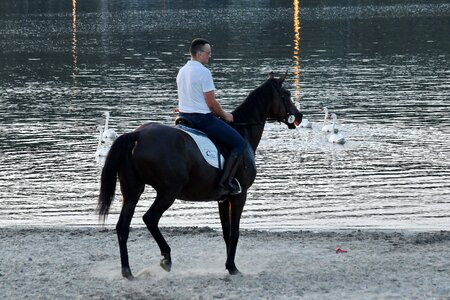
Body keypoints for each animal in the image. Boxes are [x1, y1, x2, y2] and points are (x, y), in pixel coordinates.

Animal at [97, 72, 304, 278]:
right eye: (286, 94)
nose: (299, 116)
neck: (242, 131)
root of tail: (137, 135)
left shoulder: (223, 198)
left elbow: (226, 232)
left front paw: (229, 266)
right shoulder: (240, 195)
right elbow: (235, 232)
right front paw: (233, 268)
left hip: (132, 190)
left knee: (123, 227)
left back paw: (128, 272)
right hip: (168, 192)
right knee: (150, 219)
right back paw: (166, 258)